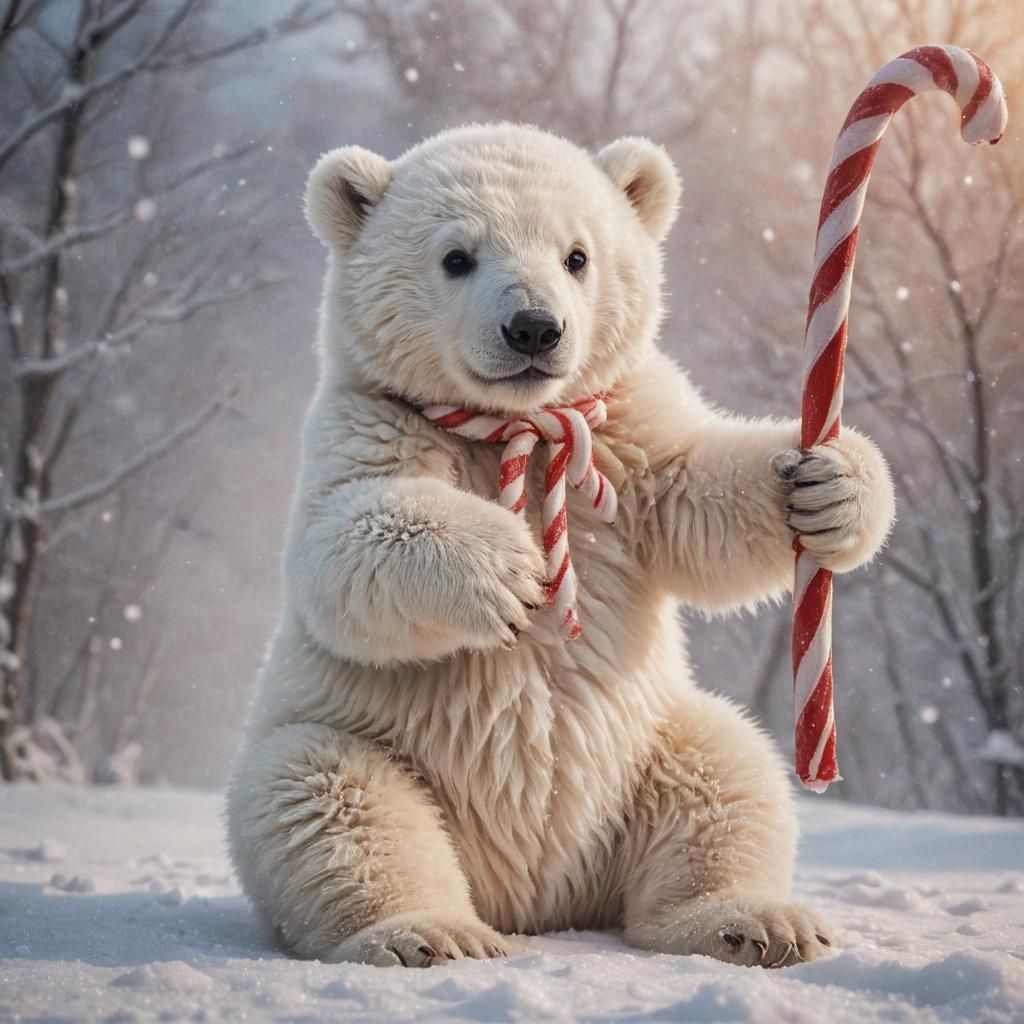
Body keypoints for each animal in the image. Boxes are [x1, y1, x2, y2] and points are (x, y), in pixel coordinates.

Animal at [226, 123, 895, 968]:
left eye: (577, 255)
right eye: (457, 256)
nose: (535, 328)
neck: (519, 425)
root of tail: (538, 900)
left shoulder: (622, 431)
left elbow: (697, 497)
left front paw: (831, 485)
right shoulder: (368, 421)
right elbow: (341, 545)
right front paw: (509, 570)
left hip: (648, 748)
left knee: (727, 774)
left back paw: (752, 923)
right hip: (363, 742)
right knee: (334, 801)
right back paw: (431, 934)